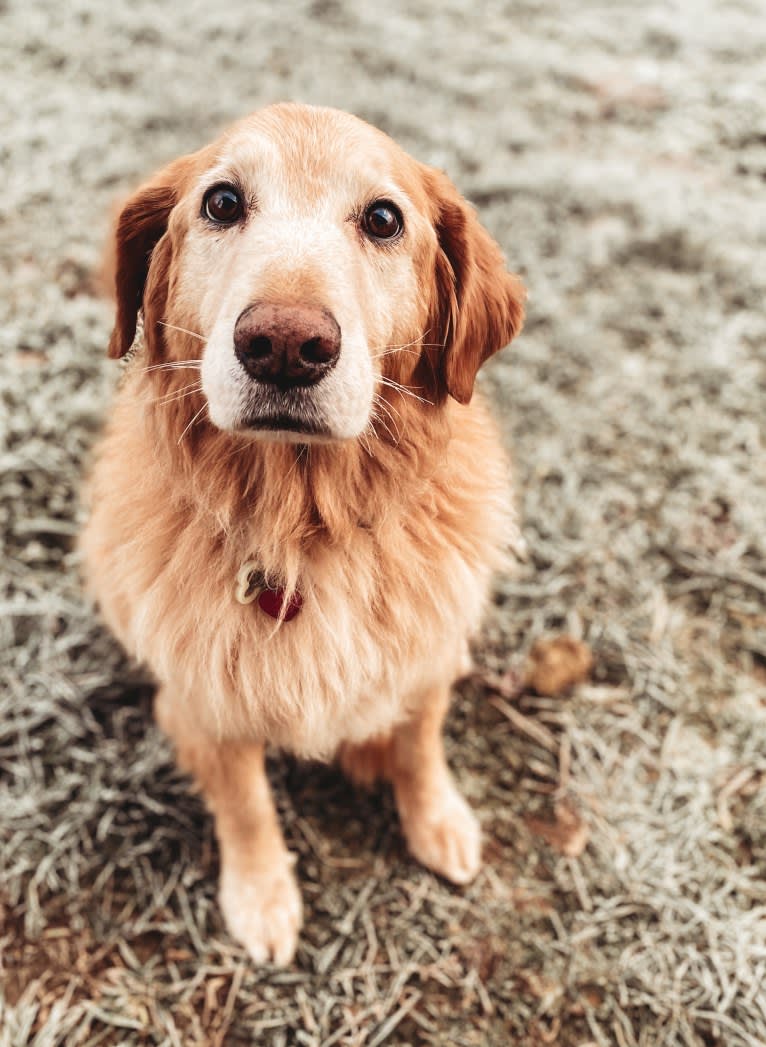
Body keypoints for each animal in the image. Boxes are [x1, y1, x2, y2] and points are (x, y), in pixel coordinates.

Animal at [82, 102, 527, 959]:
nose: (285, 344)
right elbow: (247, 801)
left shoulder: (430, 658)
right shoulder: (205, 702)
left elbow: (421, 744)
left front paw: (437, 818)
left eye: (384, 219)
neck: (305, 520)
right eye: (222, 202)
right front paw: (261, 894)